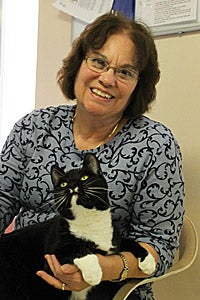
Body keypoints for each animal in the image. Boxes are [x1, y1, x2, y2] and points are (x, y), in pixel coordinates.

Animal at [0, 154, 156, 298]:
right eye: (63, 184)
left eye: (84, 177)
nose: (71, 185)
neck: (88, 221)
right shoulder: (52, 257)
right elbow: (77, 248)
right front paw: (93, 272)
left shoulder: (113, 239)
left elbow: (129, 241)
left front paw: (148, 261)